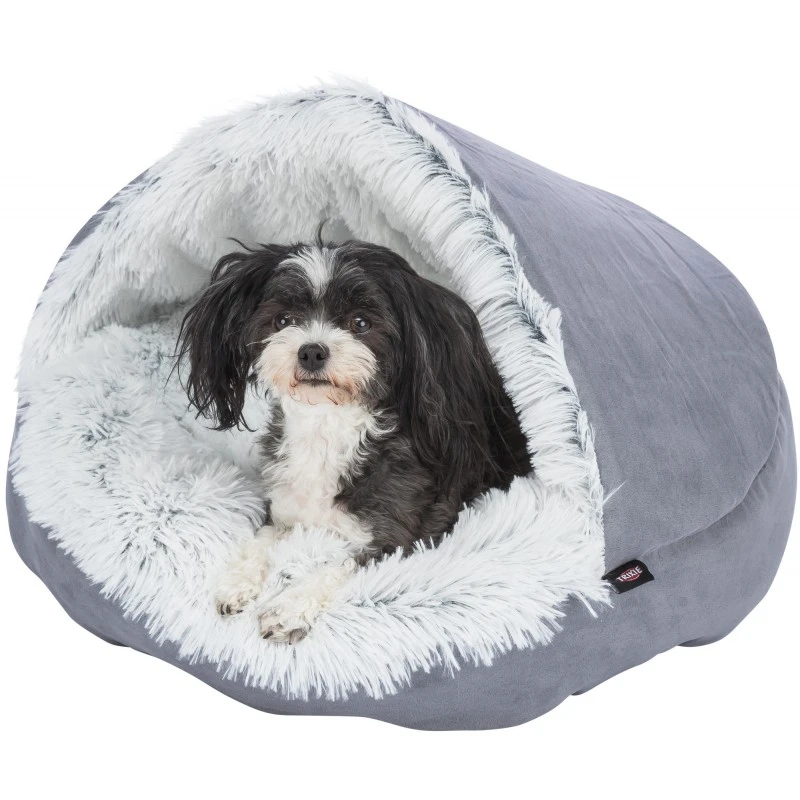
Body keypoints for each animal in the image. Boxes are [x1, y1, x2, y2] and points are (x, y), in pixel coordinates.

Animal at [177, 235, 530, 642]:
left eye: (360, 323)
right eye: (283, 320)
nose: (312, 351)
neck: (326, 431)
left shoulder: (404, 535)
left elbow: (338, 564)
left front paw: (288, 607)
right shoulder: (283, 509)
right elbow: (261, 538)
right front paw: (237, 581)